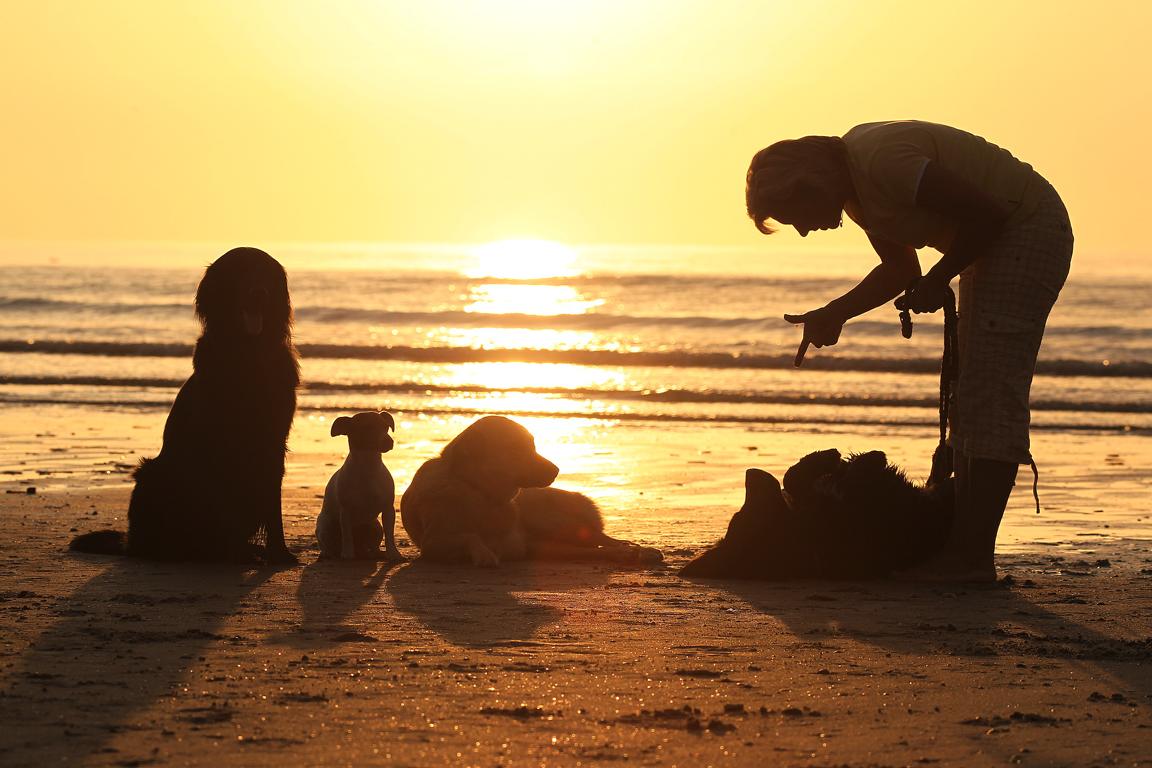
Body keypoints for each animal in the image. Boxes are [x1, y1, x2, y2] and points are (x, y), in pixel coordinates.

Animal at [69, 246, 299, 564]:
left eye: (265, 272)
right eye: (240, 271)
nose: (258, 293)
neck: (248, 353)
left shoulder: (274, 439)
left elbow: (273, 505)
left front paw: (279, 553)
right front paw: (235, 553)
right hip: (151, 474)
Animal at [315, 412, 405, 561]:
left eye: (386, 426)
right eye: (366, 427)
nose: (388, 441)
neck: (368, 466)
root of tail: (360, 549)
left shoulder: (388, 509)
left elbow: (390, 535)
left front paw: (394, 554)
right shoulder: (346, 511)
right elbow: (347, 535)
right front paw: (347, 554)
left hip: (376, 526)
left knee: (373, 544)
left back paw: (375, 553)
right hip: (324, 525)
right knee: (328, 544)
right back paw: (329, 553)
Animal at [400, 416, 663, 568]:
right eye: (517, 447)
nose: (557, 470)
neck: (479, 491)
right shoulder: (431, 544)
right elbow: (468, 535)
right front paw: (484, 554)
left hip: (552, 522)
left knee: (602, 539)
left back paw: (640, 551)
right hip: (547, 544)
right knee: (592, 549)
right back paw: (627, 554)